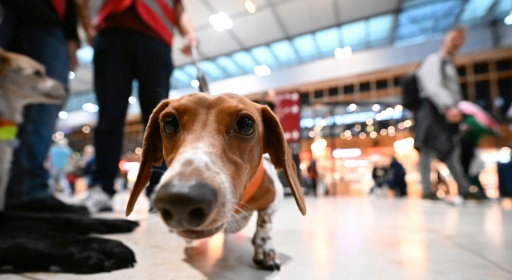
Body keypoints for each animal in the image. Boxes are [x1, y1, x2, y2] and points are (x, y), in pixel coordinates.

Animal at [126, 93, 306, 270]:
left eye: (246, 125)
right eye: (169, 123)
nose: (180, 199)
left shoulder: (275, 199)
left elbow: (265, 223)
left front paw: (266, 249)